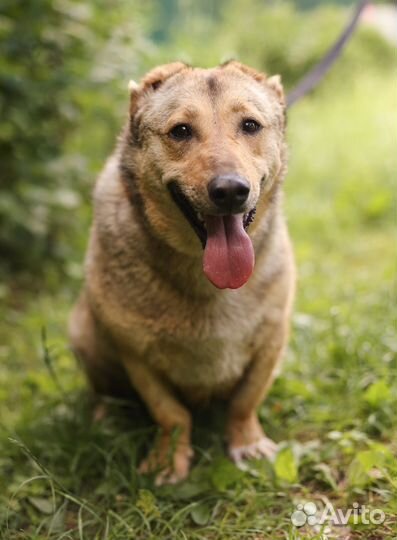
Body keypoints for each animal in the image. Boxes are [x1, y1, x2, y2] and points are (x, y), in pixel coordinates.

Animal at [69, 61, 296, 484]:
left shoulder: (271, 340)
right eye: (181, 131)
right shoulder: (136, 354)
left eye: (250, 126)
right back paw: (105, 418)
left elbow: (245, 399)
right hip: (84, 332)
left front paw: (247, 443)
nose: (230, 190)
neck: (204, 275)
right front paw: (168, 460)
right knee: (104, 390)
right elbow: (170, 414)